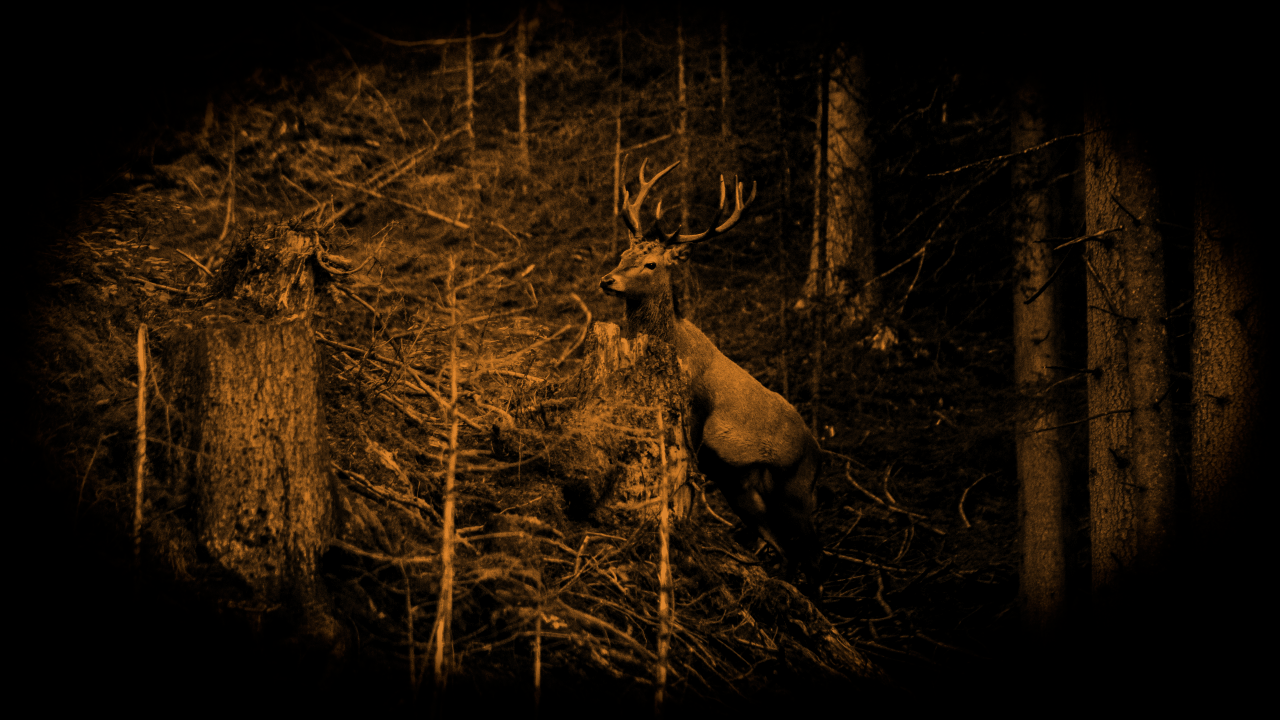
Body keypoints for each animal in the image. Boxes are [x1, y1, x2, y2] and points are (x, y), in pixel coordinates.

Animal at [600, 159, 824, 583]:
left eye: (651, 263)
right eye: (622, 253)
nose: (608, 280)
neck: (671, 342)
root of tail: (818, 450)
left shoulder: (692, 417)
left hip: (797, 487)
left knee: (814, 552)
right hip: (745, 490)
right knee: (784, 547)